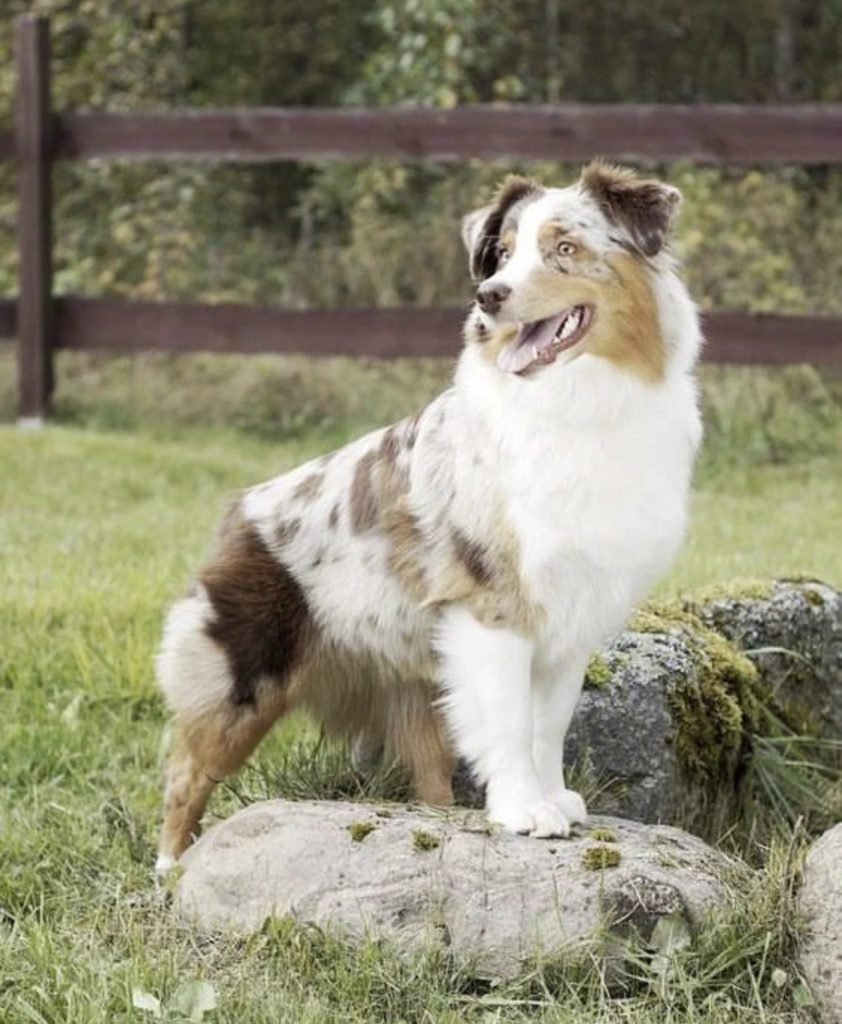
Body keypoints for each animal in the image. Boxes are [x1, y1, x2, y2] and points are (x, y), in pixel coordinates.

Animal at [154, 161, 700, 872]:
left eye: (565, 248)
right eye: (502, 254)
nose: (489, 296)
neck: (573, 400)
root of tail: (238, 513)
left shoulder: (569, 610)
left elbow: (549, 721)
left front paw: (554, 798)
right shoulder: (495, 605)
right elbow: (510, 719)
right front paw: (524, 810)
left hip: (411, 688)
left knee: (428, 779)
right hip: (241, 673)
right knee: (187, 772)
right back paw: (170, 869)